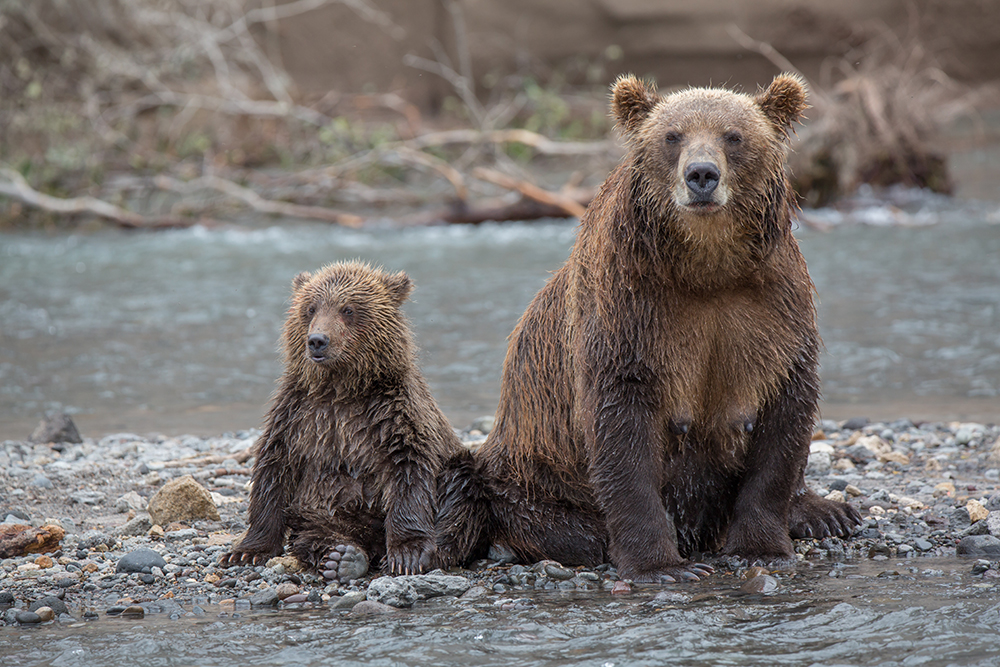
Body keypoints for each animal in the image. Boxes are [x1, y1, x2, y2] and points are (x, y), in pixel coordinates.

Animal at [436, 74, 860, 584]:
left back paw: (827, 512)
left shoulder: (774, 310)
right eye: (672, 135)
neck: (707, 267)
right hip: (533, 482)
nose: (701, 174)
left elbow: (783, 420)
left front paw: (762, 546)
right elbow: (623, 428)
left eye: (734, 136)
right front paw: (661, 565)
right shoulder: (631, 313)